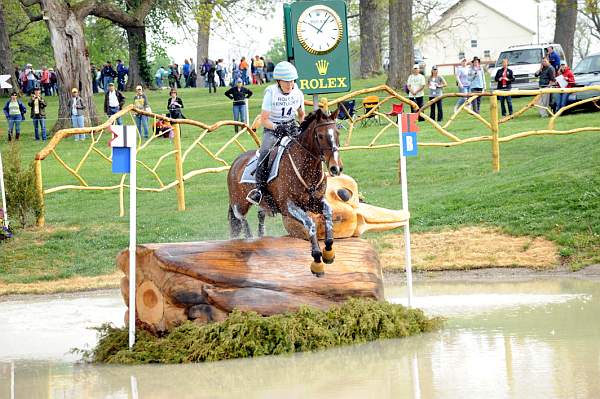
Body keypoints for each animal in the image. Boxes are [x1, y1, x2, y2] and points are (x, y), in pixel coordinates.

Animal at [226, 109, 342, 278]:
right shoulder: (289, 206)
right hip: (239, 202)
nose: (336, 168)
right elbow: (310, 223)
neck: (307, 168)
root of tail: (235, 162)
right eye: (320, 136)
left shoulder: (315, 202)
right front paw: (317, 260)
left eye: (337, 133)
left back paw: (260, 236)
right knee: (241, 217)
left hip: (262, 204)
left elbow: (328, 213)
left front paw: (328, 251)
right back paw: (250, 238)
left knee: (260, 215)